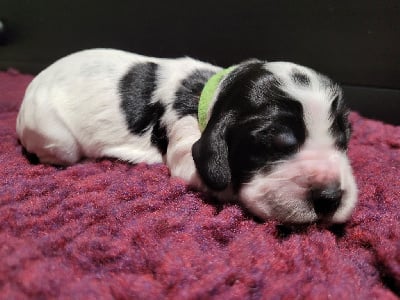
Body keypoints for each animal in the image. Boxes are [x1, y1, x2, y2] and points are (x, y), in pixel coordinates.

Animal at [17, 48, 358, 224]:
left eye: (343, 139)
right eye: (274, 142)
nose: (330, 198)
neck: (208, 94)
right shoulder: (184, 142)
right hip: (55, 136)